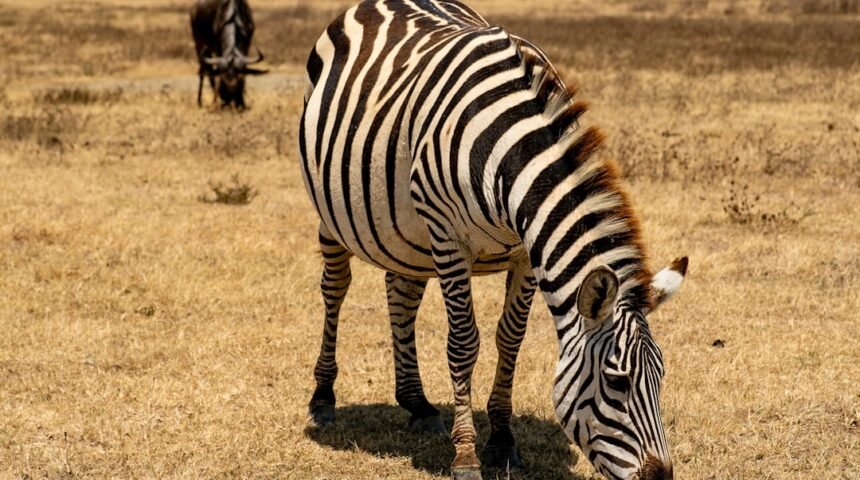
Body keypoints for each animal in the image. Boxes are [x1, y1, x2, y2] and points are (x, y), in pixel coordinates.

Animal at [298, 1, 688, 479]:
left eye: (661, 377)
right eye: (618, 382)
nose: (660, 476)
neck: (508, 150)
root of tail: (378, 4)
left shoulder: (524, 252)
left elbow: (510, 339)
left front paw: (502, 439)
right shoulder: (448, 237)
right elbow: (464, 343)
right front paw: (466, 455)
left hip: (407, 234)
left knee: (401, 294)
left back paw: (417, 404)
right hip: (334, 215)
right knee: (335, 289)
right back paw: (323, 398)